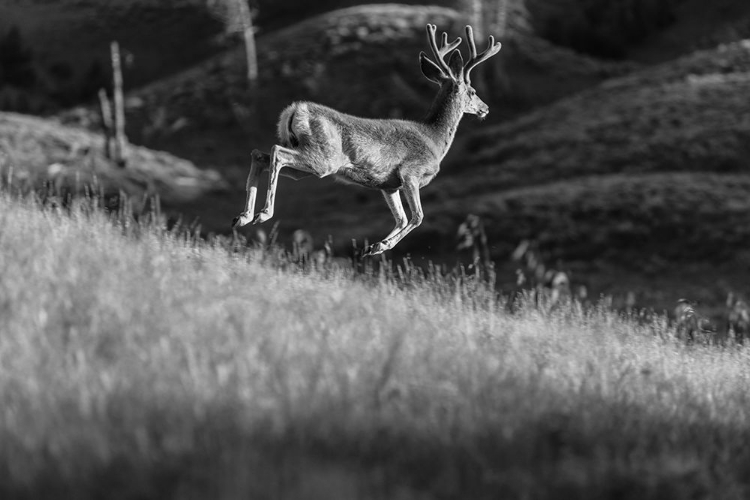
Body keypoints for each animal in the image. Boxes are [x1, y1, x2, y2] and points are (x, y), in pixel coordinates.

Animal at [232, 23, 502, 256]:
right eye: (473, 91)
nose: (486, 108)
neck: (434, 138)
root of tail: (295, 110)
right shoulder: (411, 172)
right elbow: (417, 217)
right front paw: (381, 245)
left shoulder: (388, 185)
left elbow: (401, 218)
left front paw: (374, 247)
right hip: (324, 158)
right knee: (276, 152)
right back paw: (262, 214)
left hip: (304, 162)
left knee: (261, 155)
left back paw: (243, 217)